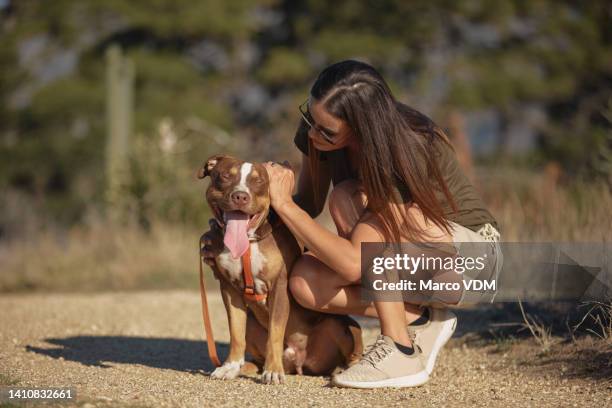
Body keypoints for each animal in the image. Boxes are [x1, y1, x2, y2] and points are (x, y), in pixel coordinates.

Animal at [198, 155, 364, 384]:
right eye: (224, 176)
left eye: (259, 181)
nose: (240, 196)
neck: (249, 243)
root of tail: (298, 362)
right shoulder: (230, 290)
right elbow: (236, 332)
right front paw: (229, 366)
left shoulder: (279, 287)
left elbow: (275, 332)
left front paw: (273, 371)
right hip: (252, 323)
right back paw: (247, 366)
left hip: (339, 324)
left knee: (351, 351)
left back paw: (345, 370)